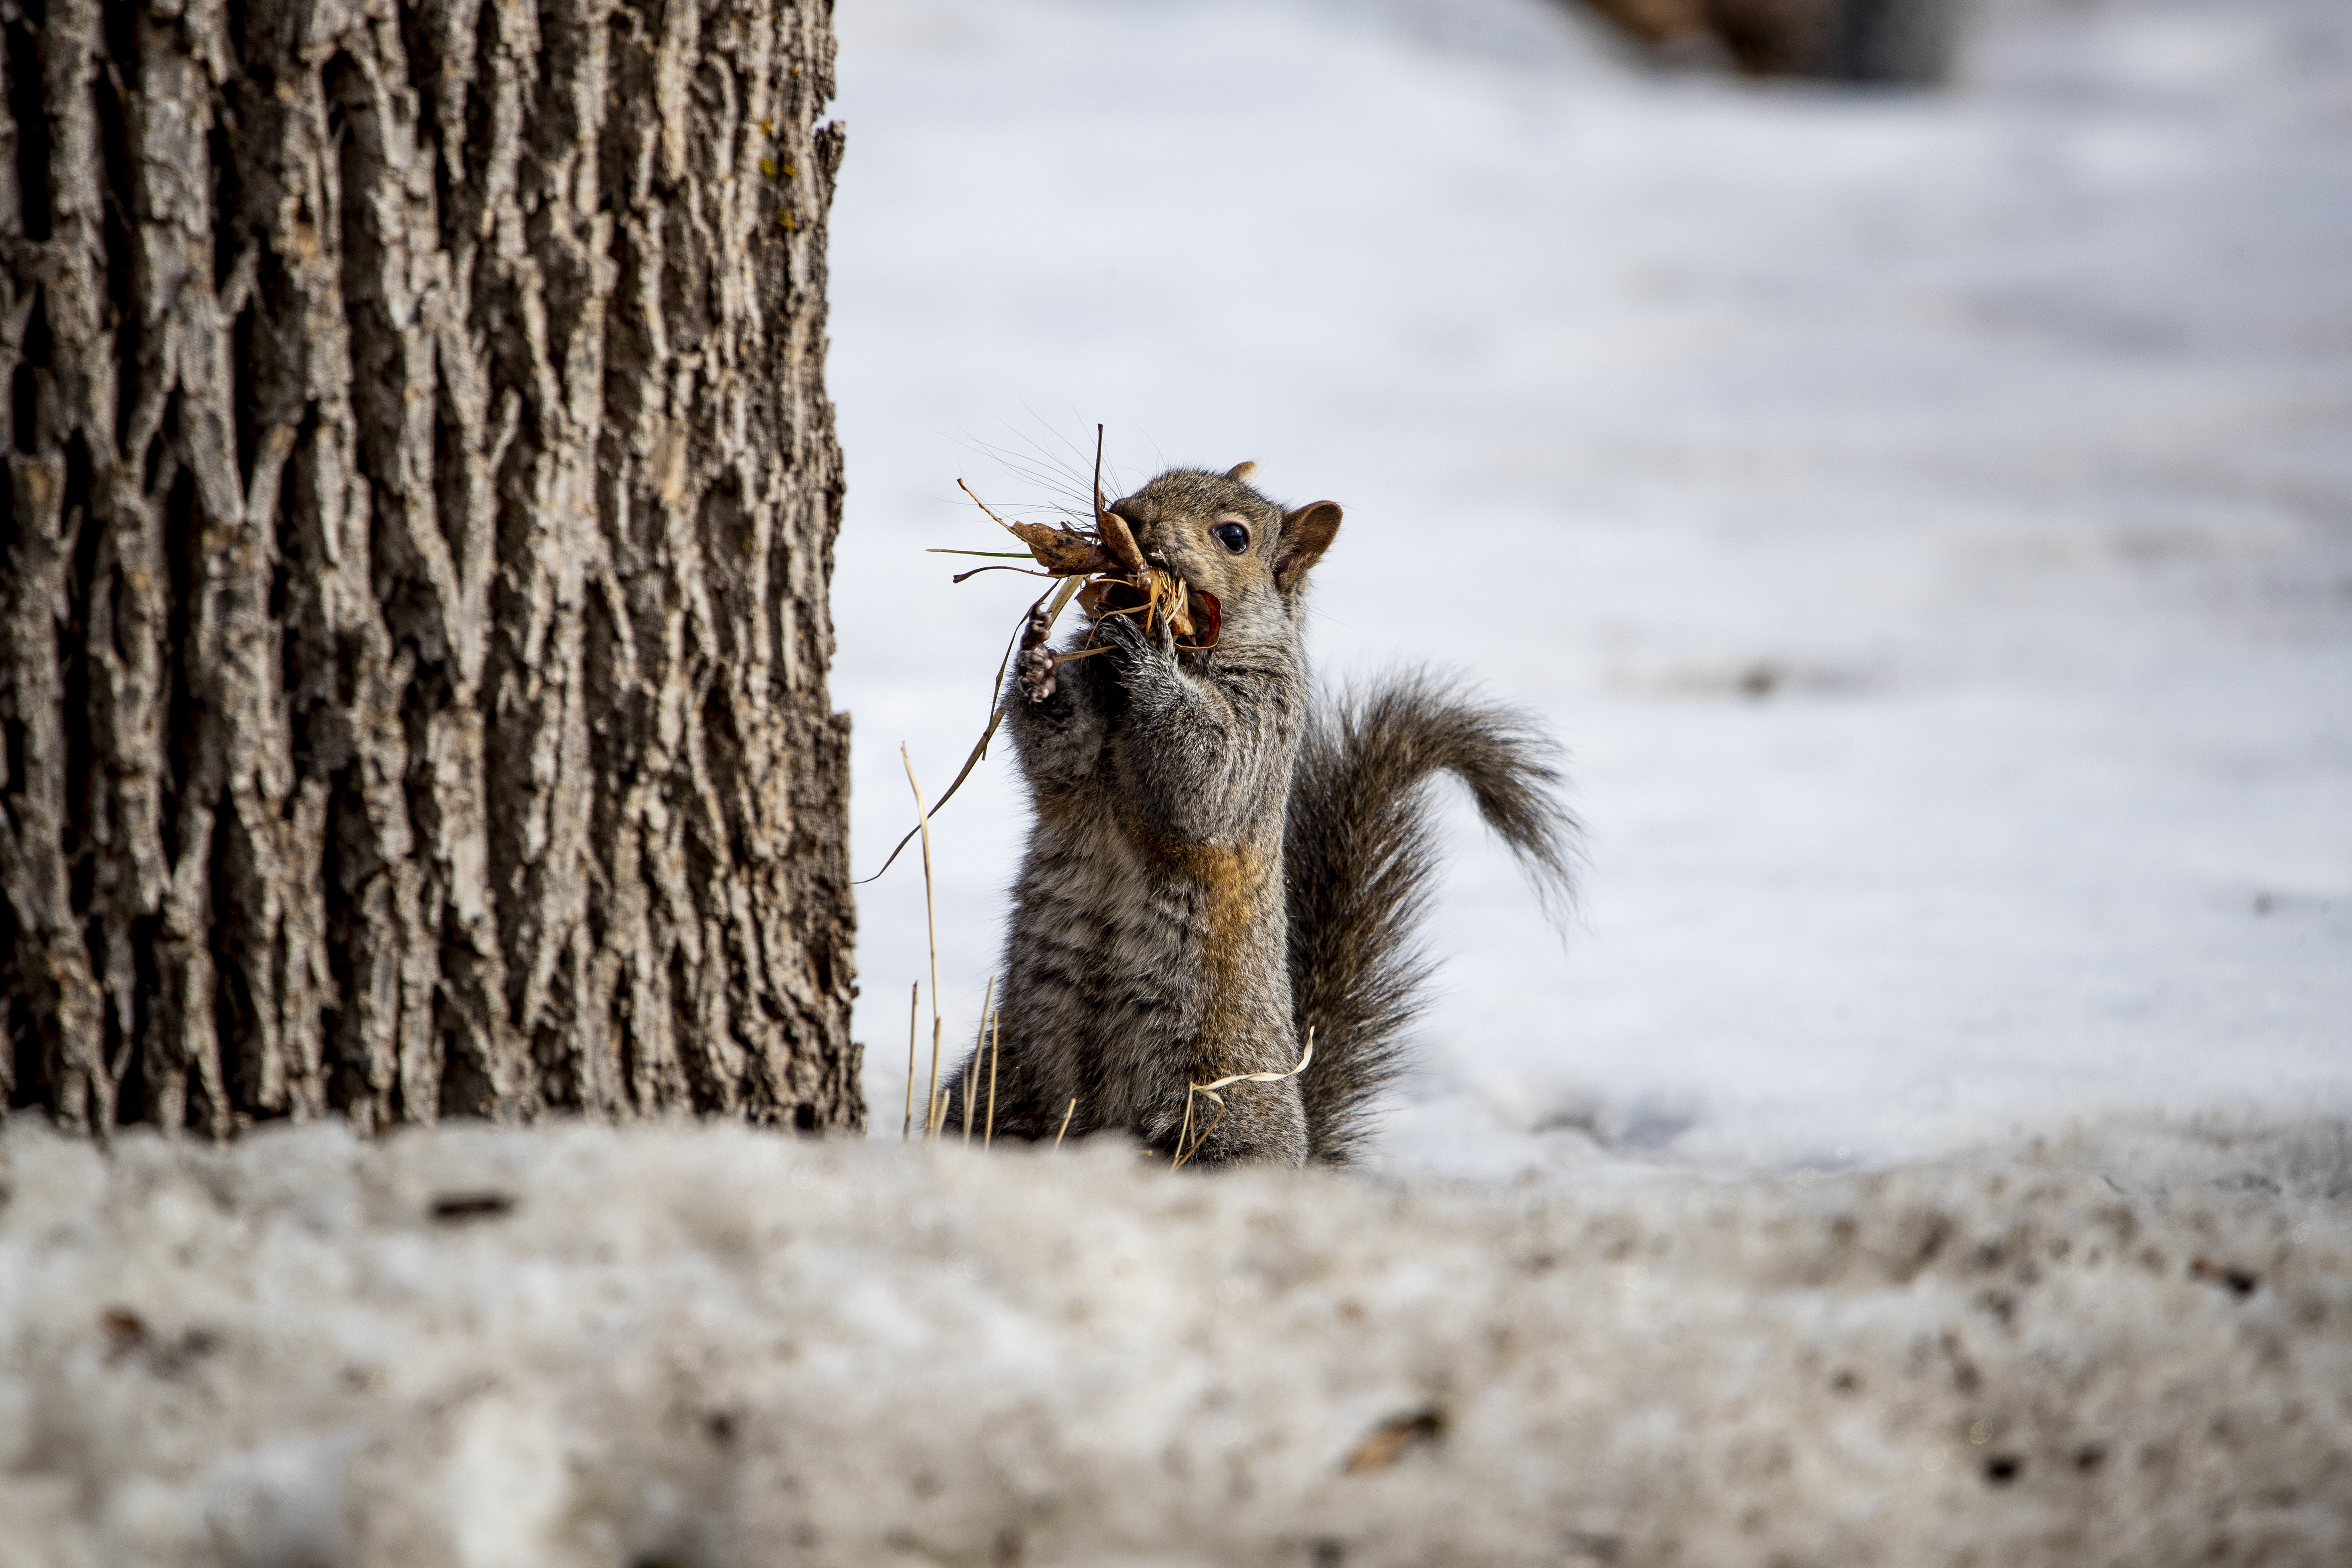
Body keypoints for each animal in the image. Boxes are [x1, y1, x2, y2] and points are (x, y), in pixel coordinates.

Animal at [936, 464, 1576, 1166]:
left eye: (1234, 537)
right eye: (1152, 481)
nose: (1127, 517)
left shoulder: (1267, 721)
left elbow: (1208, 778)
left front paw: (1147, 652)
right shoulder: (1079, 766)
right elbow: (1061, 757)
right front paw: (1039, 664)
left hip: (1221, 1109)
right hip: (994, 1087)